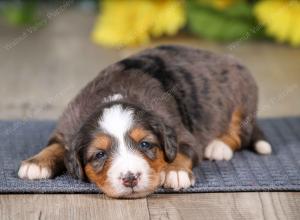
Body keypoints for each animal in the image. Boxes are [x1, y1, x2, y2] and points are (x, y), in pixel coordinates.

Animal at [18, 44, 272, 198]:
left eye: (145, 144)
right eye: (99, 155)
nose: (130, 178)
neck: (115, 94)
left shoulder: (182, 133)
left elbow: (182, 151)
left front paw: (174, 172)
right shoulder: (69, 124)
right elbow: (56, 145)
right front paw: (36, 163)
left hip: (243, 98)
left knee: (239, 133)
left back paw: (218, 146)